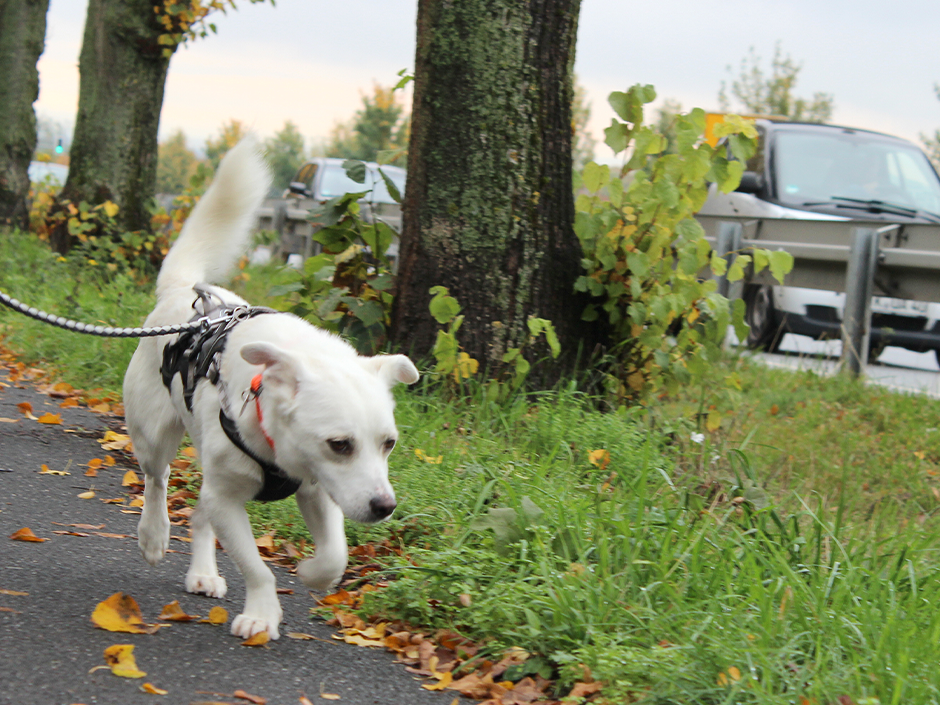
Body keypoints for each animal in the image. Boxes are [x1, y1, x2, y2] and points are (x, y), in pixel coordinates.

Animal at [124, 138, 418, 640]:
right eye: (340, 444)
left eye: (389, 444)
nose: (384, 506)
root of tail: (183, 294)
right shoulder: (228, 498)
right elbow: (256, 567)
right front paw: (261, 614)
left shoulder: (318, 491)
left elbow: (335, 555)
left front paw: (313, 574)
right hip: (154, 435)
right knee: (157, 480)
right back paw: (154, 534)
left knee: (197, 514)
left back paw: (203, 573)